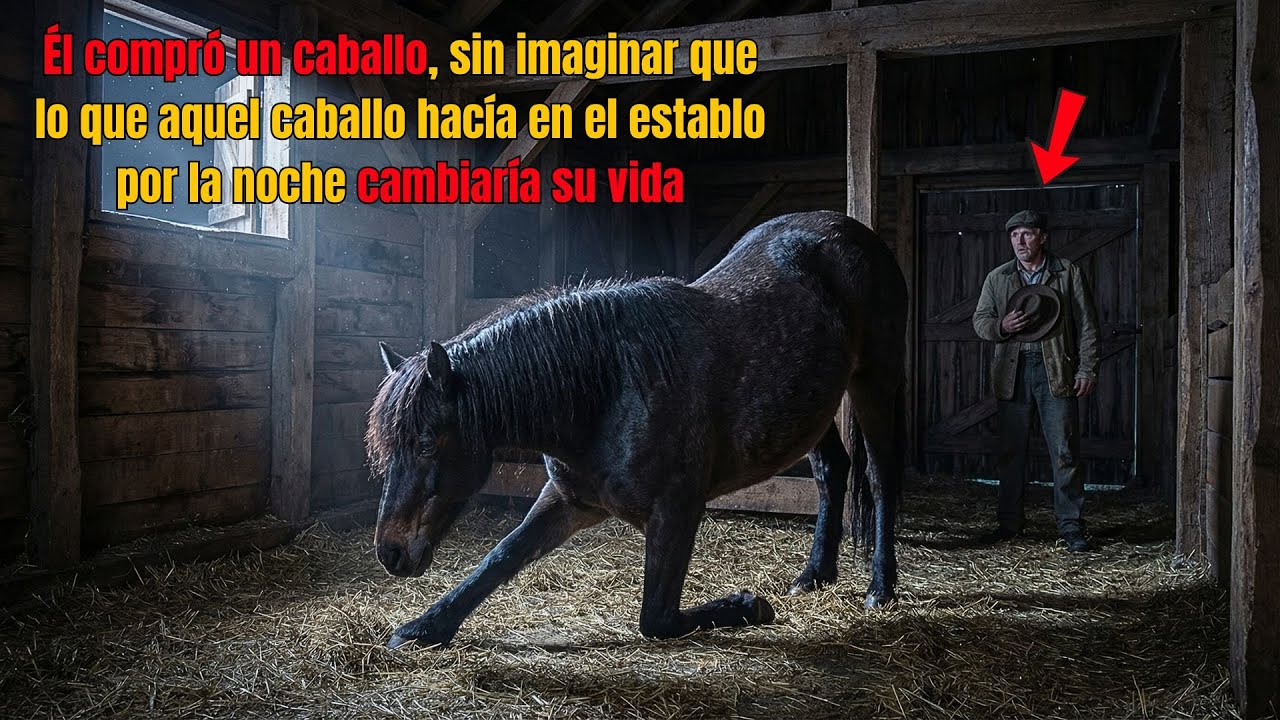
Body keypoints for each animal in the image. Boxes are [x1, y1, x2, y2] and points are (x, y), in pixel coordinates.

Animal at [366, 209, 908, 649]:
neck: (609, 388)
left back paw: (880, 588)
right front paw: (424, 627)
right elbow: (499, 558)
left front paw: (749, 605)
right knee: (831, 471)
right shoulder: (569, 501)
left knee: (881, 478)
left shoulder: (676, 510)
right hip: (813, 407)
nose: (390, 554)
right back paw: (814, 575)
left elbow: (656, 619)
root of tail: (849, 230)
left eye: (427, 443)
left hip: (875, 379)